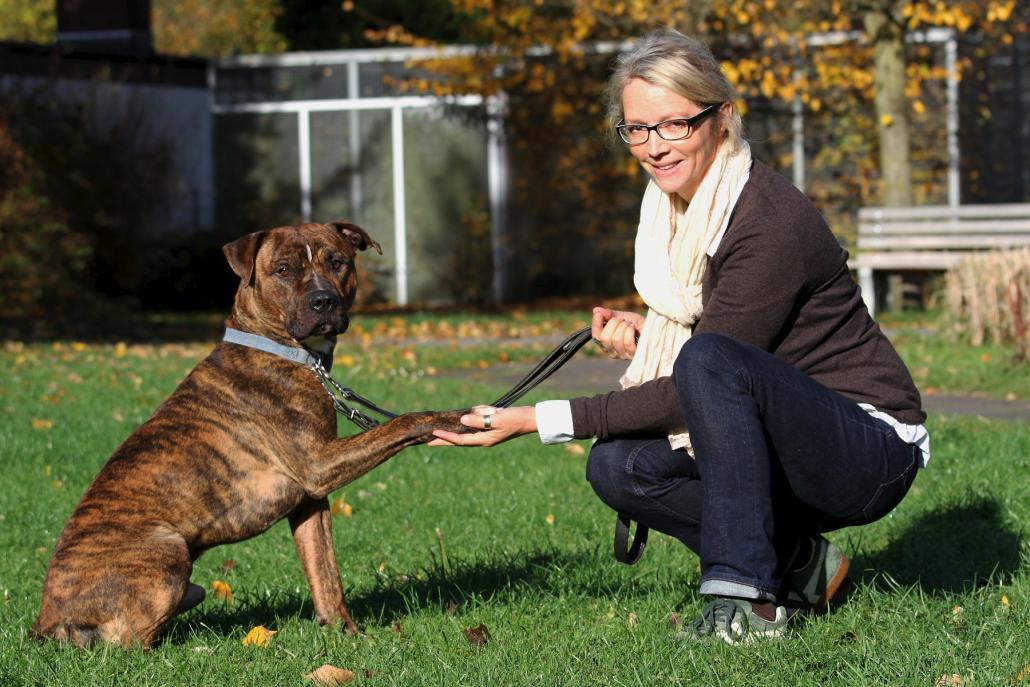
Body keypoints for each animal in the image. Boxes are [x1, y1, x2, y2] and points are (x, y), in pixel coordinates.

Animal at [31, 221, 467, 650]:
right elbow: (403, 422)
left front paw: (345, 634)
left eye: (338, 262)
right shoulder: (319, 464)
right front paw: (457, 417)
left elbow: (325, 573)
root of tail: (44, 621)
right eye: (284, 270)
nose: (324, 301)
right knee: (127, 643)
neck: (286, 351)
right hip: (169, 551)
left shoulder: (311, 501)